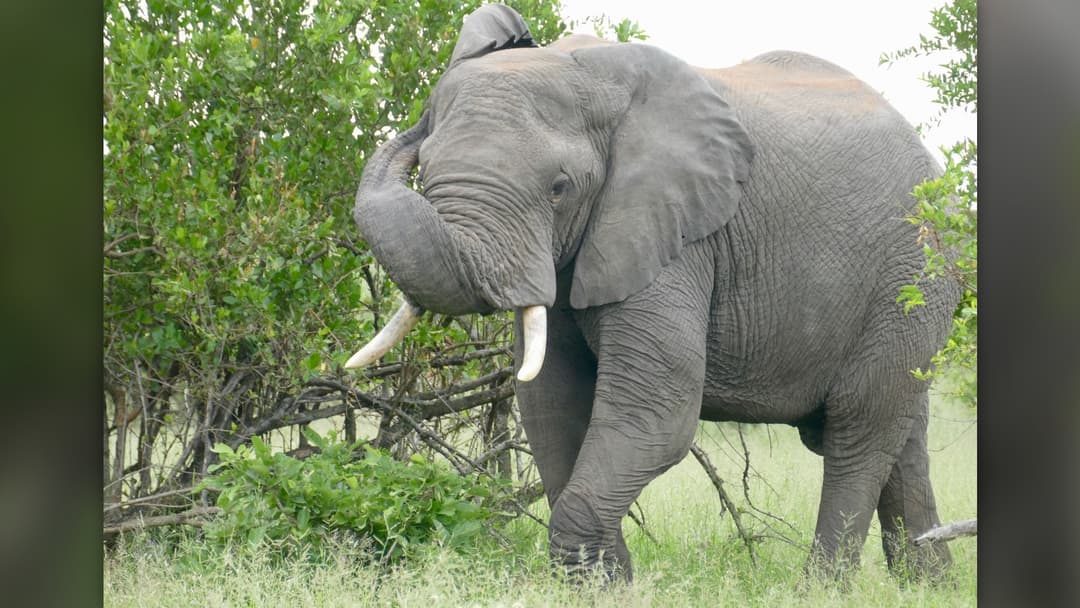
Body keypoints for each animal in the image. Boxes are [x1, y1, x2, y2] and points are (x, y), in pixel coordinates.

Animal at [344, 4, 958, 583]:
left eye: (559, 188)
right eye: (425, 169)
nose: (415, 126)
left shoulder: (677, 235)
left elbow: (658, 407)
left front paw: (605, 584)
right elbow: (550, 400)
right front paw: (609, 585)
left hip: (913, 277)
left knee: (858, 430)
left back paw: (823, 589)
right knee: (900, 435)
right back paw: (927, 584)